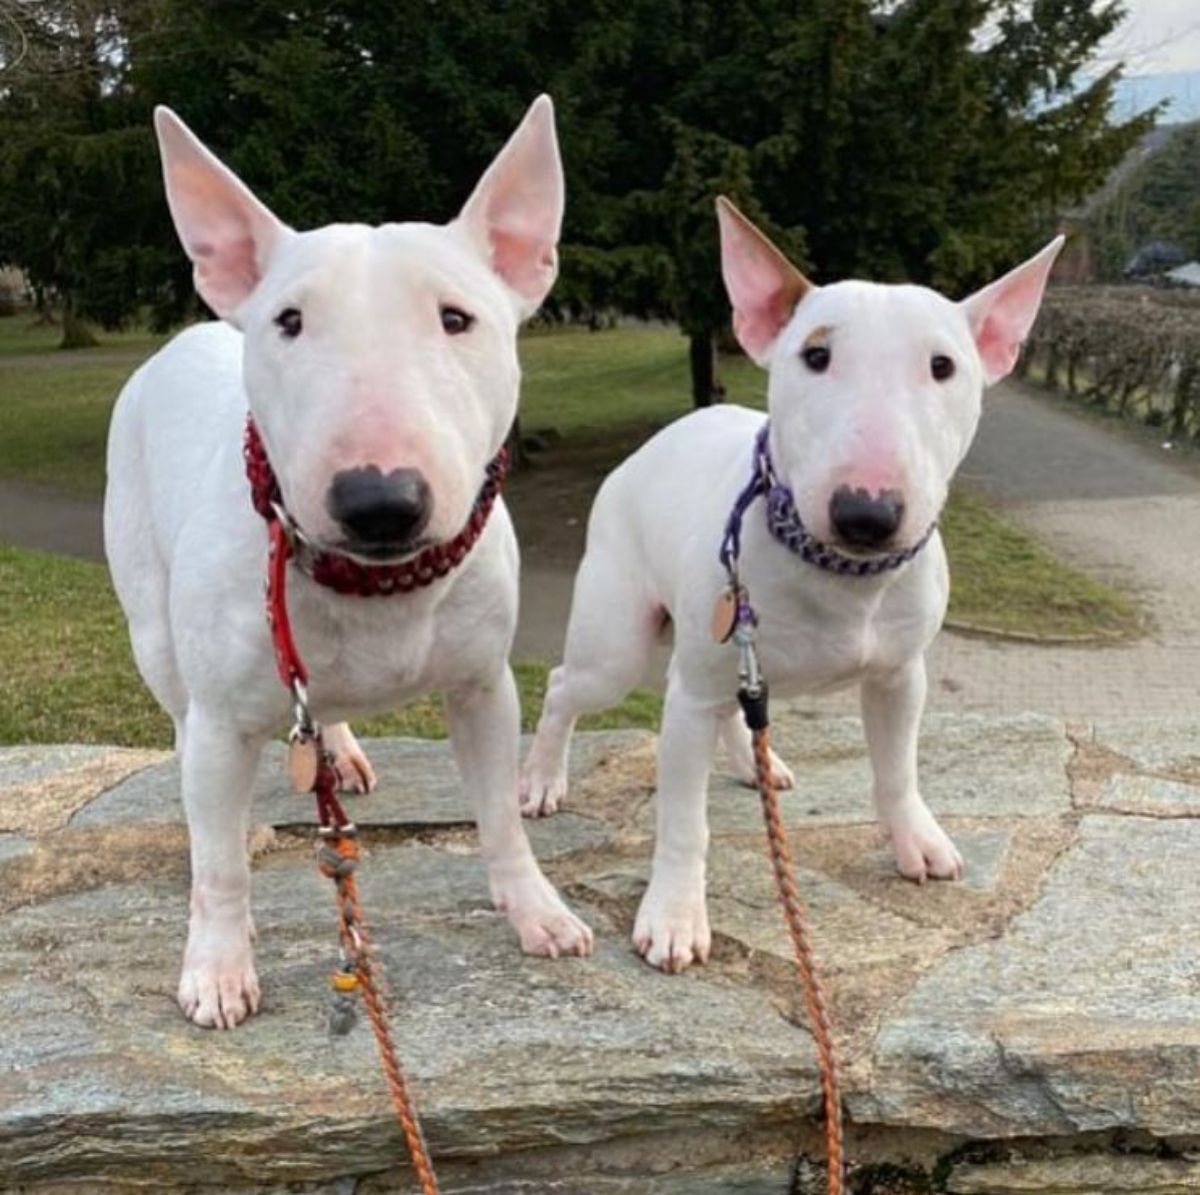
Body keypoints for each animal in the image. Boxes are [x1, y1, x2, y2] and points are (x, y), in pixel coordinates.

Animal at [105, 97, 592, 1027]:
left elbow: (501, 817)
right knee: (186, 731)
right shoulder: (221, 722)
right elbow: (219, 862)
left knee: (315, 707)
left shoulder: (484, 686)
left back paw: (340, 747)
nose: (379, 500)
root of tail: (183, 337)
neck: (375, 585)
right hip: (151, 624)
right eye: (289, 320)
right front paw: (218, 966)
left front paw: (538, 911)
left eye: (455, 317)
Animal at [523, 200, 1060, 974]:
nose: (867, 513)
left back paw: (758, 763)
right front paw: (674, 917)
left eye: (943, 366)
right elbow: (682, 820)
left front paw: (917, 841)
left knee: (732, 708)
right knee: (569, 684)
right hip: (618, 641)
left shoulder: (900, 674)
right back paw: (541, 778)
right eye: (815, 355)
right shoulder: (688, 698)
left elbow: (897, 768)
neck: (843, 575)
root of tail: (655, 442)